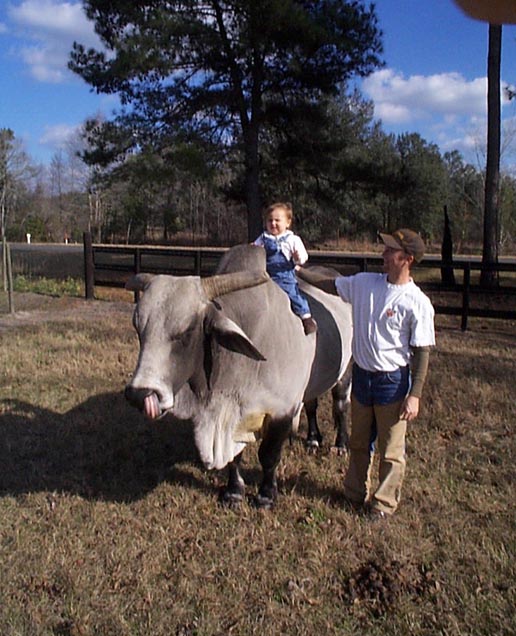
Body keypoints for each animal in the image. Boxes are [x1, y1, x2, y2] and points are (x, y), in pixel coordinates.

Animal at [125, 243, 352, 506]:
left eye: (186, 331)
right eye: (139, 330)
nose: (139, 394)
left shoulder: (281, 409)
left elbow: (269, 455)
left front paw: (266, 494)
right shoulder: (233, 414)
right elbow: (235, 458)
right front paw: (234, 491)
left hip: (346, 370)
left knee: (340, 406)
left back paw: (341, 444)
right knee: (312, 405)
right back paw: (312, 439)